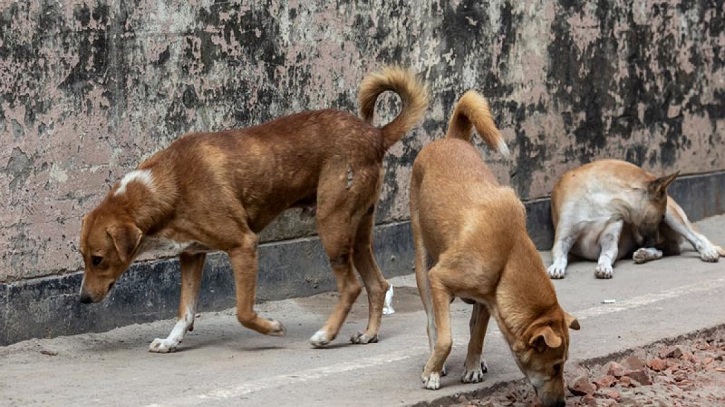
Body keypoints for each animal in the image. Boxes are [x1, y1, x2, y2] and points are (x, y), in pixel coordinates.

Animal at [79, 65, 430, 352]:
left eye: (98, 259)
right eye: (83, 258)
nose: (82, 299)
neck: (168, 185)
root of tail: (375, 133)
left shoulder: (243, 245)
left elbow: (243, 311)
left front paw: (271, 327)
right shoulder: (191, 254)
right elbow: (185, 310)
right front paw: (171, 340)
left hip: (331, 224)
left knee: (352, 286)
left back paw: (326, 335)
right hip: (357, 232)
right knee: (378, 284)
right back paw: (369, 333)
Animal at [410, 91, 580, 407]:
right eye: (556, 366)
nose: (562, 403)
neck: (509, 252)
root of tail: (451, 139)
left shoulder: (489, 300)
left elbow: (477, 333)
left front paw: (473, 365)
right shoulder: (439, 279)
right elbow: (445, 339)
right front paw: (432, 372)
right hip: (421, 259)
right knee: (432, 323)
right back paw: (435, 363)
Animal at [544, 159, 720, 280]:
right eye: (660, 216)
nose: (657, 238)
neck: (600, 199)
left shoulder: (610, 238)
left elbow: (606, 254)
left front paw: (604, 266)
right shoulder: (564, 237)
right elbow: (560, 254)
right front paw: (556, 266)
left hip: (674, 217)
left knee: (694, 237)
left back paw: (707, 251)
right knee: (666, 249)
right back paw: (646, 253)